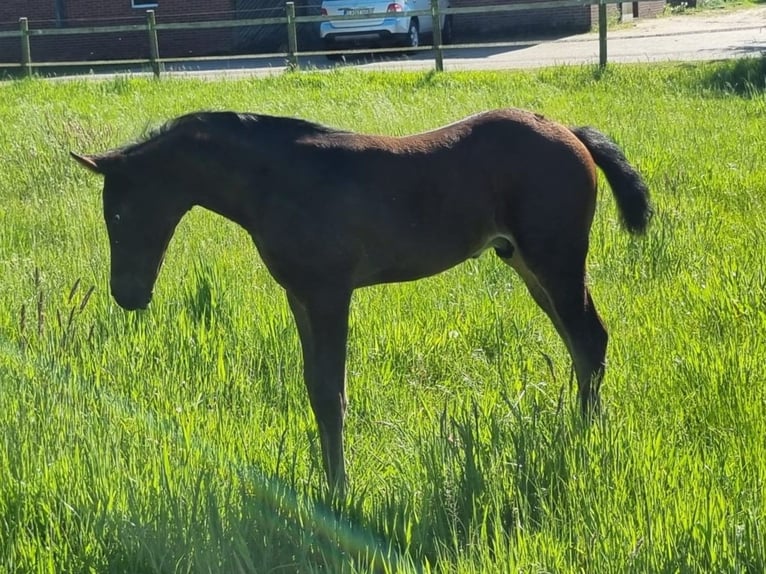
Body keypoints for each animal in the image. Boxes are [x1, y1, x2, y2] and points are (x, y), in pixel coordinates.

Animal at [70, 109, 656, 496]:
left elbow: (332, 393)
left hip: (556, 259)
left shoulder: (330, 292)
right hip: (526, 264)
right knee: (579, 341)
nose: (127, 294)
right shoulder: (300, 296)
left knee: (589, 338)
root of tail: (569, 131)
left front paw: (339, 491)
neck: (281, 180)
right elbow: (315, 389)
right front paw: (328, 484)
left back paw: (582, 436)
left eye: (117, 214)